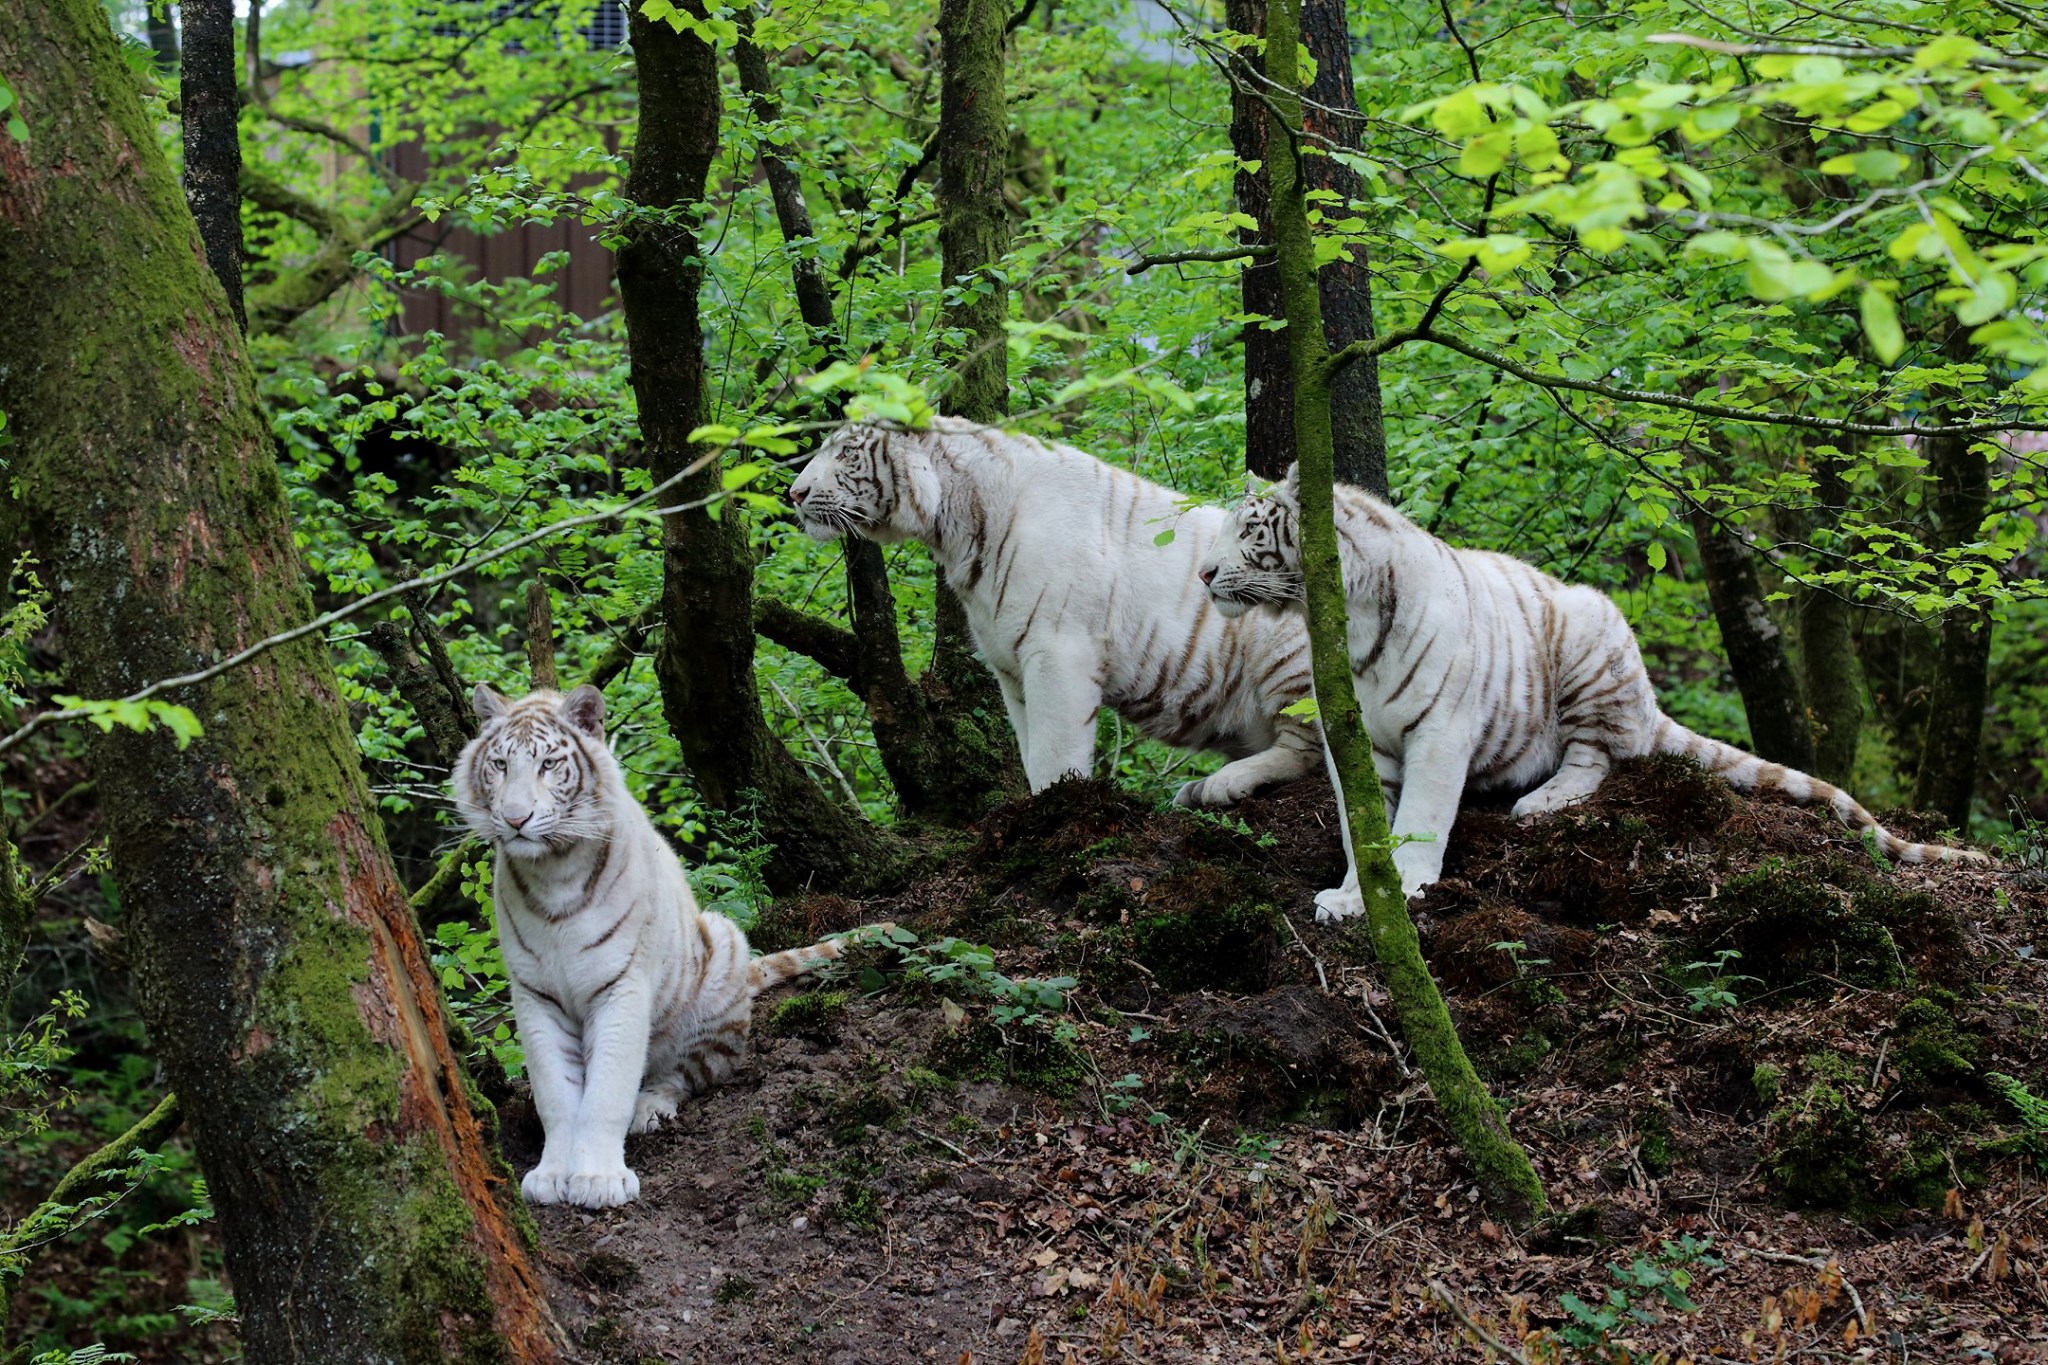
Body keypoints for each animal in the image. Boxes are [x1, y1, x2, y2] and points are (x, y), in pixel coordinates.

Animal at [453, 683, 857, 1208]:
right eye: (500, 765)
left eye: (548, 764)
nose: (515, 818)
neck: (552, 872)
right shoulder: (535, 994)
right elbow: (554, 1092)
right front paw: (552, 1174)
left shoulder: (621, 984)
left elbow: (607, 1088)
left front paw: (599, 1179)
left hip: (720, 947)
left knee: (686, 1074)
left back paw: (648, 1108)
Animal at [785, 417, 1322, 806]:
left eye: (847, 453)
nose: (795, 493)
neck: (957, 527)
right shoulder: (1009, 666)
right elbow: (1028, 745)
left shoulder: (1057, 648)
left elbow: (1053, 749)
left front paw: (1053, 810)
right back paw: (1194, 790)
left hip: (1287, 649)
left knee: (1310, 749)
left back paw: (1222, 783)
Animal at [1198, 468, 1989, 921]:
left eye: (1250, 529)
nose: (1204, 572)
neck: (1339, 618)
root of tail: (1649, 701)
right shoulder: (1355, 740)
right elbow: (1365, 826)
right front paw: (1353, 895)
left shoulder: (1441, 729)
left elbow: (1420, 818)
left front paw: (1412, 887)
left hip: (1588, 636)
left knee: (1596, 758)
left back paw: (1539, 801)